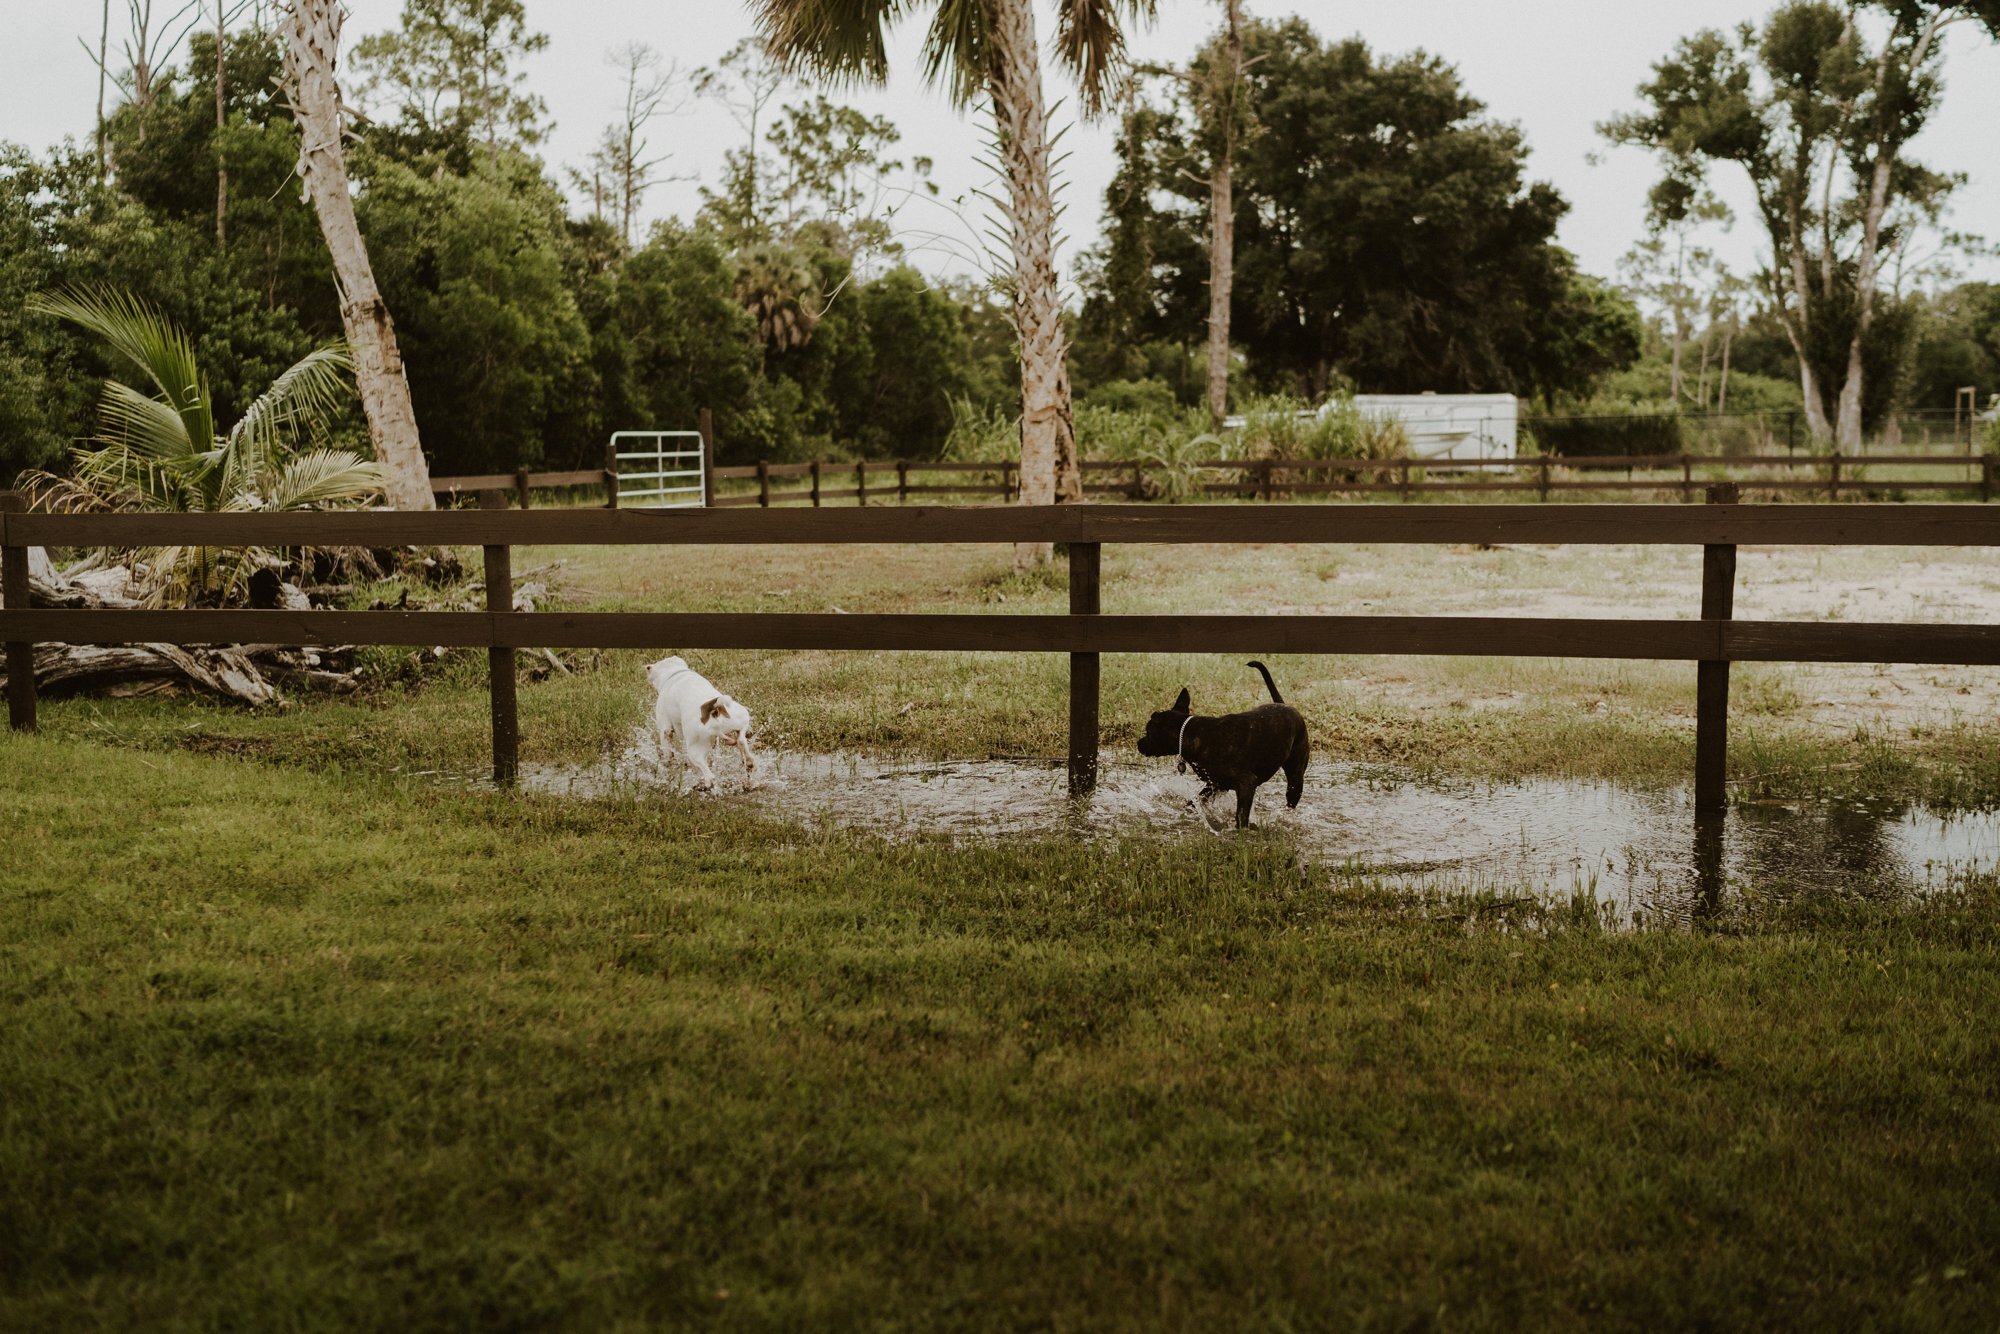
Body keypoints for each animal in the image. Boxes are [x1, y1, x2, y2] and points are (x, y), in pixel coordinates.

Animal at [648, 656, 756, 792]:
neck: (676, 673)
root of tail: (714, 708)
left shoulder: (665, 729)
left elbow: (668, 753)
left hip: (694, 750)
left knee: (708, 774)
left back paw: (705, 785)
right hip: (742, 718)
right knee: (741, 741)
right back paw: (749, 762)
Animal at [1144, 664, 1312, 828]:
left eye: (1148, 732)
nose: (1140, 742)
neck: (1192, 733)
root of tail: (1285, 705)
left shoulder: (1245, 784)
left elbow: (1241, 815)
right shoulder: (1216, 784)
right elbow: (1197, 800)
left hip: (1295, 777)